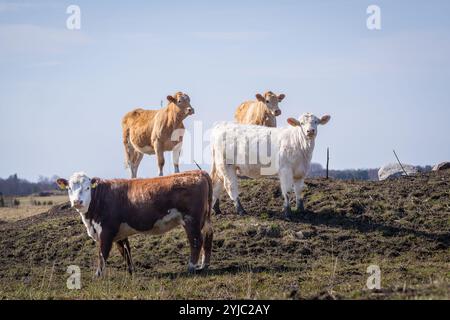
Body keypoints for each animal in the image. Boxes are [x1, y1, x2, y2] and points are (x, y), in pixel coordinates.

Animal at [55, 170, 213, 276]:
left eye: (87, 188)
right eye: (69, 188)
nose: (77, 201)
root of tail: (198, 172)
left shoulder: (106, 231)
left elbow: (102, 253)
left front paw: (98, 275)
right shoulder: (119, 233)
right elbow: (126, 251)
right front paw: (132, 272)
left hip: (191, 220)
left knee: (196, 241)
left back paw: (191, 267)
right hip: (204, 219)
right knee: (208, 237)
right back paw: (204, 265)